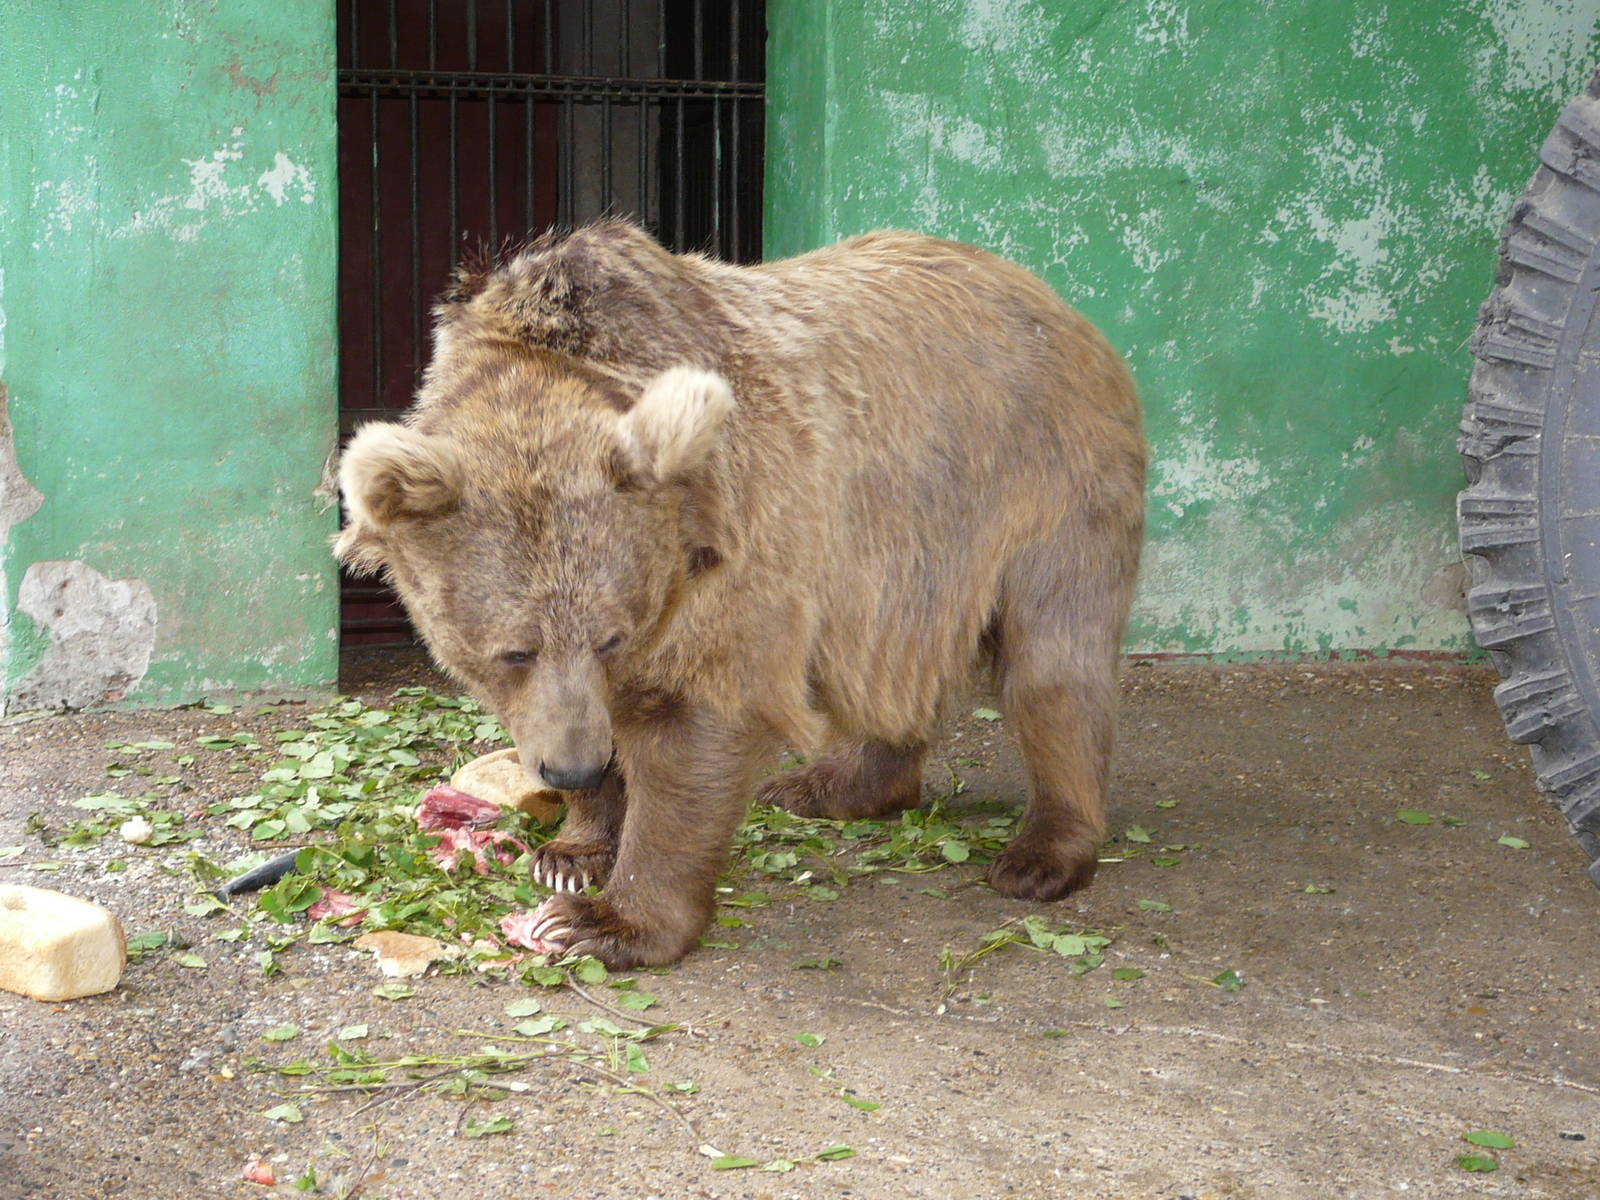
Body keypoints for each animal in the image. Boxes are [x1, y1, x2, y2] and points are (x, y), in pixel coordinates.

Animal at [335, 221, 1145, 968]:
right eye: (513, 651)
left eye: (610, 637)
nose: (573, 770)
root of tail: (1055, 298)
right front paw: (572, 851)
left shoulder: (733, 532)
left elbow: (697, 718)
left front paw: (608, 921)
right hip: (909, 554)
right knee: (891, 669)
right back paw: (833, 786)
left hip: (1043, 487)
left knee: (1052, 668)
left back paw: (1043, 853)